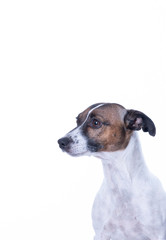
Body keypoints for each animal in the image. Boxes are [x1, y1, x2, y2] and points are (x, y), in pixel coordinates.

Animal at [57, 103, 166, 240]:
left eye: (96, 122)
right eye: (77, 120)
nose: (60, 142)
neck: (121, 185)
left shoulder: (158, 234)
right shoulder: (100, 234)